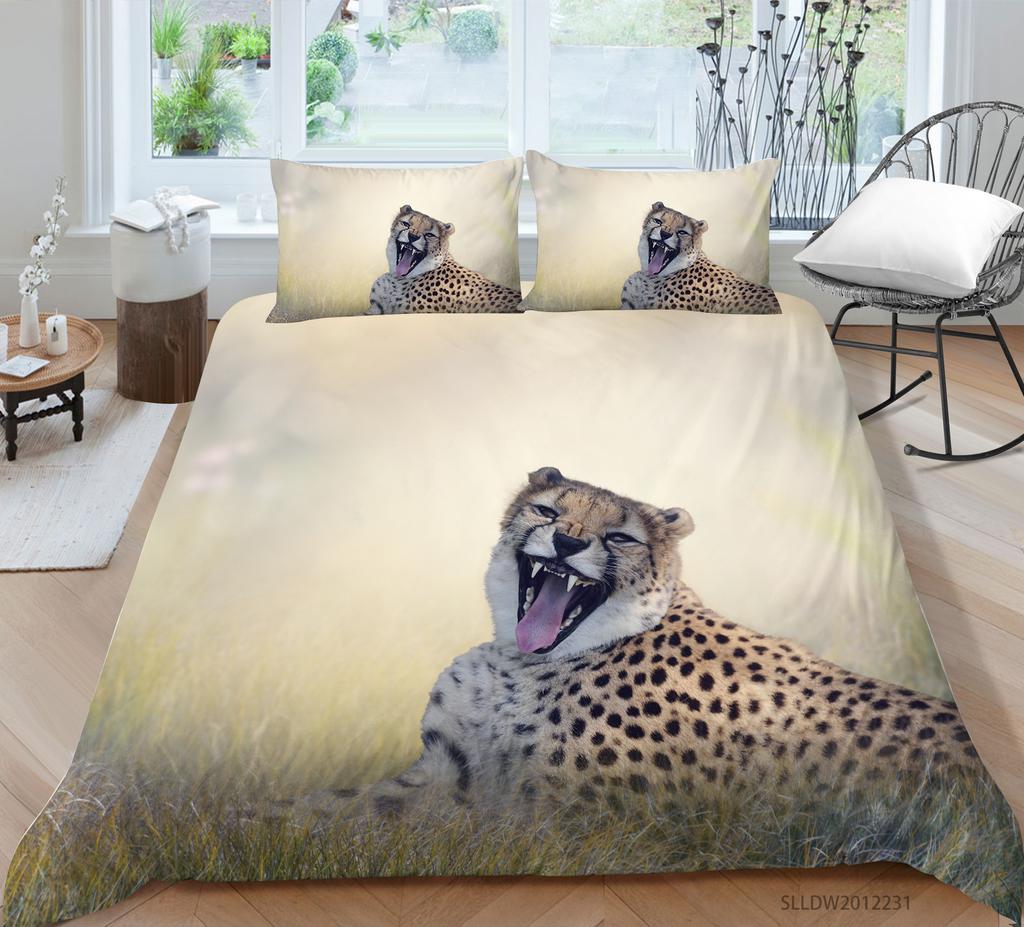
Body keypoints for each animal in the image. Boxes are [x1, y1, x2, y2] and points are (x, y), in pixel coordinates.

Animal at [298, 468, 986, 821]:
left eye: (622, 538)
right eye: (548, 511)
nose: (568, 543)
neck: (525, 662)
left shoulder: (548, 818)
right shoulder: (446, 771)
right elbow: (324, 807)